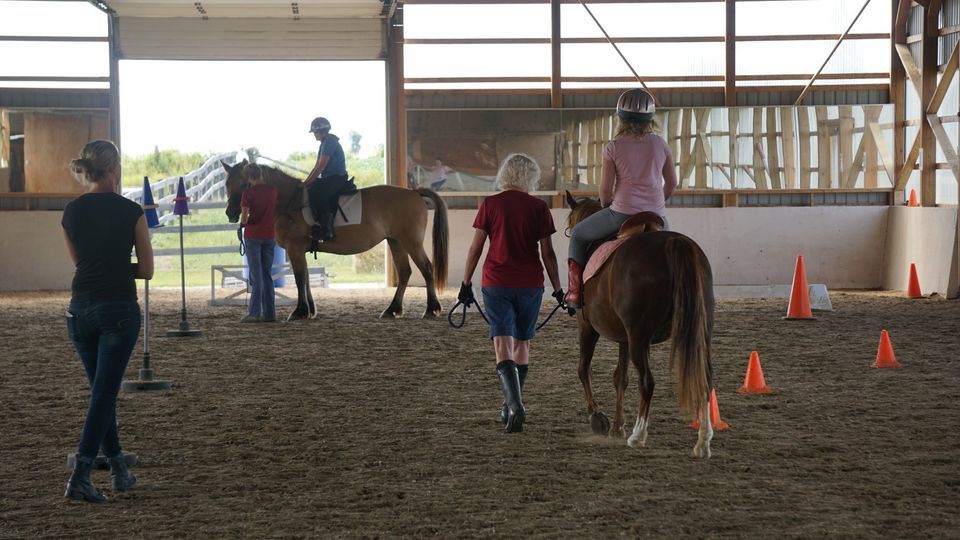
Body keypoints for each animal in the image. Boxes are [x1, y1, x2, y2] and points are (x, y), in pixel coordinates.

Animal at [222, 160, 450, 320]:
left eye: (245, 184)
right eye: (227, 184)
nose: (231, 213)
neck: (290, 203)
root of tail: (415, 193)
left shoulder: (295, 249)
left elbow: (299, 278)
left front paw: (300, 311)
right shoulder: (299, 251)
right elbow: (306, 277)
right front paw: (310, 311)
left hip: (411, 242)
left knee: (426, 268)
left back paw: (431, 309)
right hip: (396, 241)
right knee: (405, 272)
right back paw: (392, 309)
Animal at [568, 192, 716, 458]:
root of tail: (673, 243)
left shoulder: (587, 327)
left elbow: (583, 369)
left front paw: (598, 417)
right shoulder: (624, 338)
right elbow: (620, 377)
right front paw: (617, 426)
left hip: (639, 337)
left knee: (647, 381)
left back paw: (638, 435)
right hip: (700, 333)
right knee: (705, 379)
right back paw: (703, 442)